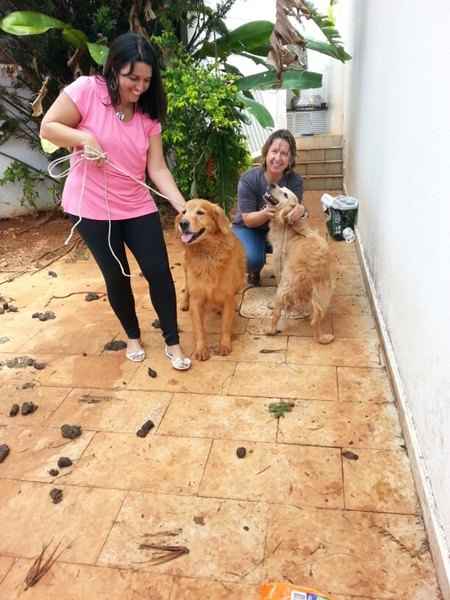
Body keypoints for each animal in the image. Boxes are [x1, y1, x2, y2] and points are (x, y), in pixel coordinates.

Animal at [176, 202, 246, 360]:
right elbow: (199, 329)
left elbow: (225, 325)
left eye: (200, 212)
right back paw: (184, 302)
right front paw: (201, 349)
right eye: (183, 212)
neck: (207, 255)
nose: (182, 223)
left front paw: (224, 345)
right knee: (186, 286)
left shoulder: (228, 296)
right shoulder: (196, 298)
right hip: (186, 269)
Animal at [268, 183, 334, 344]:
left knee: (277, 312)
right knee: (316, 319)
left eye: (285, 194)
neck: (289, 228)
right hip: (323, 293)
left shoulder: (278, 265)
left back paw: (271, 330)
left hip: (285, 286)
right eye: (281, 187)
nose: (272, 184)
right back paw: (321, 336)